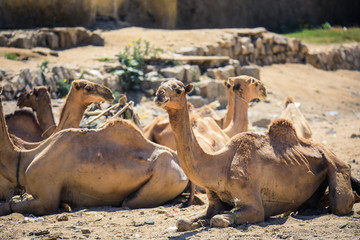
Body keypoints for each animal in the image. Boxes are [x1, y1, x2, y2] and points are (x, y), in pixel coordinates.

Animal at [0, 86, 190, 216]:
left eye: (30, 93)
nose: (19, 98)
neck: (23, 159)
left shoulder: (46, 198)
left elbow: (10, 205)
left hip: (164, 181)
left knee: (128, 201)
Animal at [154, 79, 358, 230]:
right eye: (161, 85)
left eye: (178, 90)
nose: (159, 95)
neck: (219, 164)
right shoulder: (213, 202)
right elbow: (184, 221)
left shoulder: (255, 206)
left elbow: (219, 219)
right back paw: (306, 210)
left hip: (336, 165)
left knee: (342, 203)